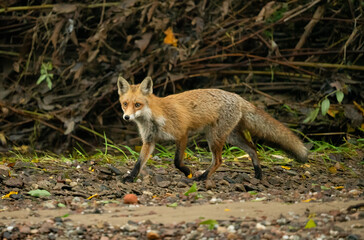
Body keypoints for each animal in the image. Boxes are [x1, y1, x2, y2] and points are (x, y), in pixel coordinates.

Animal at [117, 76, 308, 183]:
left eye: (137, 105)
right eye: (125, 104)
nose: (126, 117)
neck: (154, 117)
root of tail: (238, 97)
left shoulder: (182, 135)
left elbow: (177, 161)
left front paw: (188, 172)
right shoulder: (149, 141)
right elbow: (138, 163)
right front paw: (130, 177)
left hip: (214, 138)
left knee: (218, 161)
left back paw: (203, 177)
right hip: (230, 137)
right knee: (253, 149)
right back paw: (258, 174)